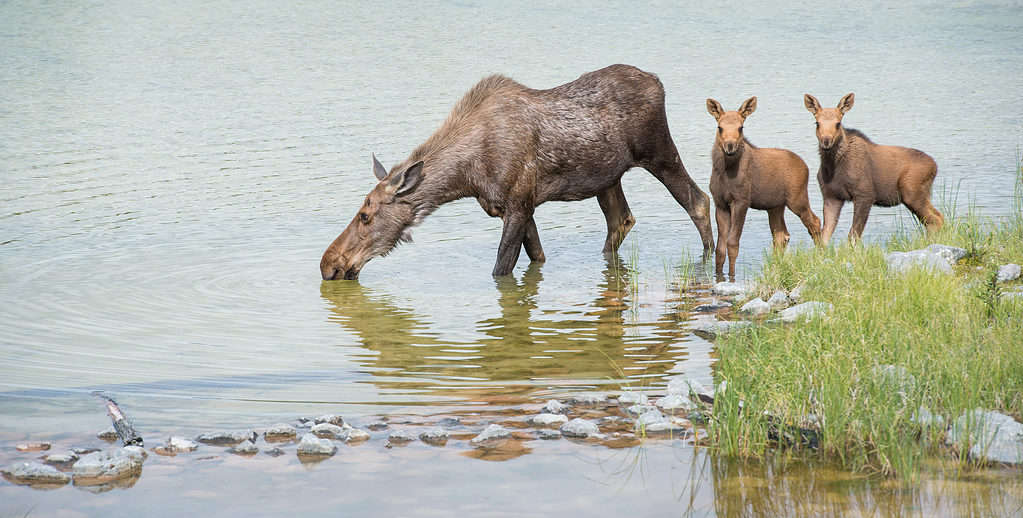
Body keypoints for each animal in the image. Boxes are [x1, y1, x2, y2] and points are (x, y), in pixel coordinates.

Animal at [319, 66, 712, 280]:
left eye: (366, 215)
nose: (329, 264)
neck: (465, 178)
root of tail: (658, 81)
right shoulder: (518, 208)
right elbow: (537, 258)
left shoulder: (519, 206)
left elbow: (500, 269)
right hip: (608, 177)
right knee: (622, 220)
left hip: (659, 152)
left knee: (698, 200)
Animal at [707, 99, 818, 280]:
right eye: (720, 127)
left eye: (741, 127)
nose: (730, 146)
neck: (725, 170)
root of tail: (806, 167)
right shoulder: (720, 203)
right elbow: (719, 249)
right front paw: (719, 276)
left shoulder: (741, 201)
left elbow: (732, 243)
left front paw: (731, 277)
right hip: (775, 206)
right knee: (781, 235)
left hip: (797, 199)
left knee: (814, 222)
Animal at [806, 93, 941, 242]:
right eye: (817, 123)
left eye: (838, 123)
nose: (826, 141)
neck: (832, 167)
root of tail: (935, 166)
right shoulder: (831, 196)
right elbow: (824, 236)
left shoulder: (865, 195)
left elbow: (853, 235)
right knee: (937, 217)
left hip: (912, 193)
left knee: (935, 220)